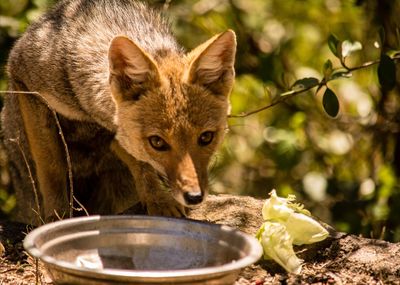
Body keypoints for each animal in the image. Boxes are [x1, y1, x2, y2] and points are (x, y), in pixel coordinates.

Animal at [1, 0, 236, 225]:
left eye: (206, 137)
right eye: (157, 142)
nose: (194, 197)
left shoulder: (117, 136)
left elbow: (139, 161)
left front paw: (158, 200)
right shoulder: (25, 82)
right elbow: (52, 168)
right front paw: (57, 217)